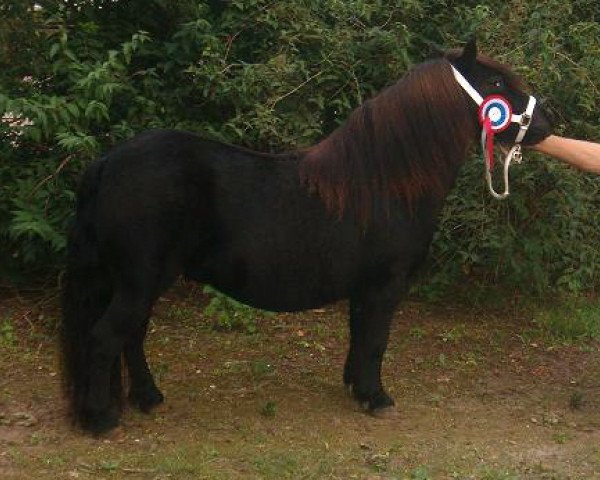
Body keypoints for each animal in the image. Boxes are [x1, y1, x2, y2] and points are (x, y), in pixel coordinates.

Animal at [62, 39, 552, 434]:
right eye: (495, 81)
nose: (548, 119)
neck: (384, 182)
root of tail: (106, 162)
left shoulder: (364, 288)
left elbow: (360, 336)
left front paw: (356, 387)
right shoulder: (385, 284)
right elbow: (376, 341)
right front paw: (377, 398)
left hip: (142, 282)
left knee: (132, 336)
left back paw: (147, 398)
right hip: (140, 281)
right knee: (106, 338)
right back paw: (102, 419)